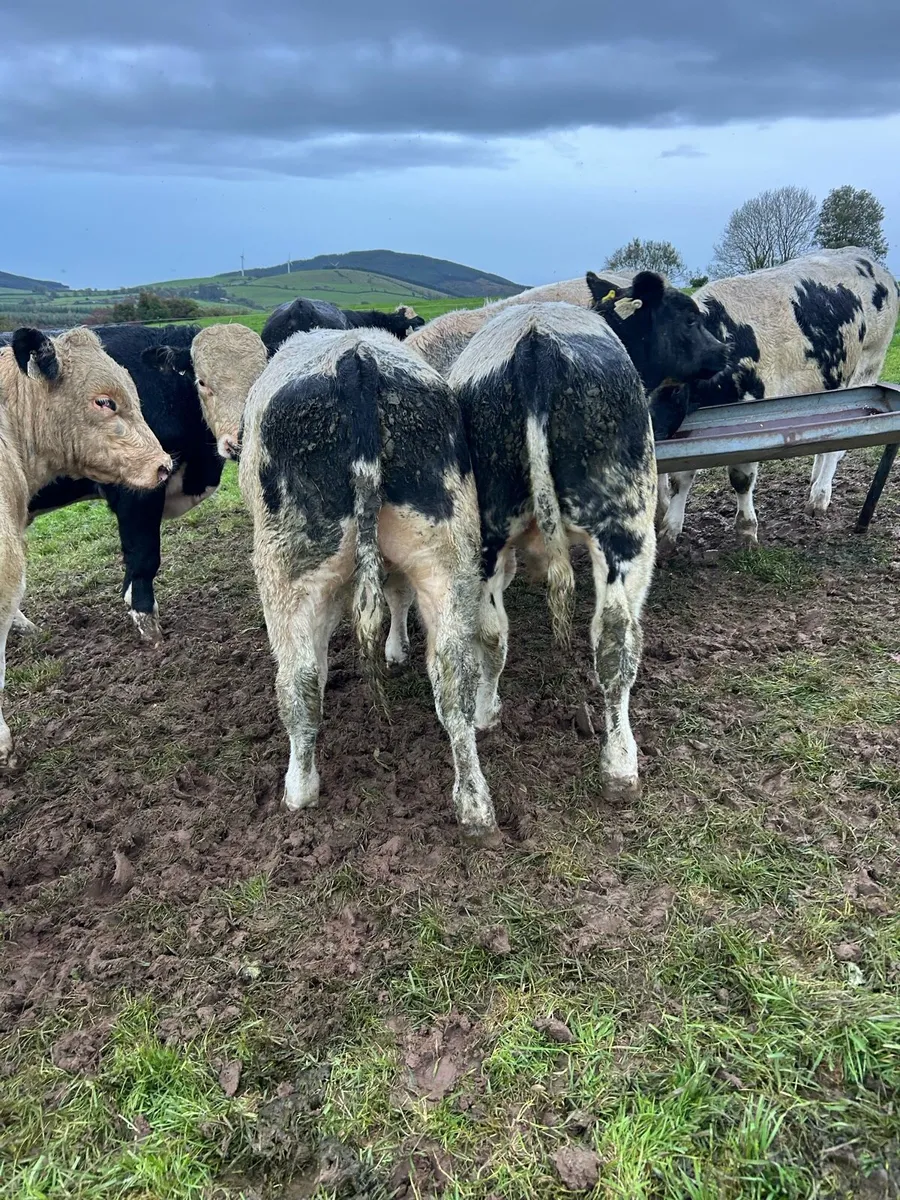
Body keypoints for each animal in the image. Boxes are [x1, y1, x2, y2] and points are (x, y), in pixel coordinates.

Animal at [239, 326, 498, 843]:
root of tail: (356, 362)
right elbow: (397, 598)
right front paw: (396, 649)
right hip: (448, 557)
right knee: (454, 677)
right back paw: (474, 804)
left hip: (286, 569)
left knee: (299, 681)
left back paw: (299, 790)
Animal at [651, 248, 900, 551]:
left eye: (673, 388)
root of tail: (866, 257)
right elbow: (681, 478)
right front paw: (670, 531)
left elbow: (741, 478)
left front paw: (746, 531)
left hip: (867, 367)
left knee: (838, 445)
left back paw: (819, 498)